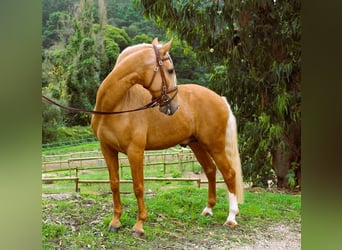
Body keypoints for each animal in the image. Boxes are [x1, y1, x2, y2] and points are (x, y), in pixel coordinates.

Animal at [90, 37, 243, 236]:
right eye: (170, 70)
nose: (174, 106)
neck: (116, 105)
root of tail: (220, 99)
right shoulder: (107, 149)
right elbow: (114, 184)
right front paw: (115, 222)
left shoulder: (135, 151)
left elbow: (138, 186)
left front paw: (139, 225)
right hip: (197, 145)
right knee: (210, 170)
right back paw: (208, 209)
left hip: (215, 145)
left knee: (229, 174)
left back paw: (231, 217)